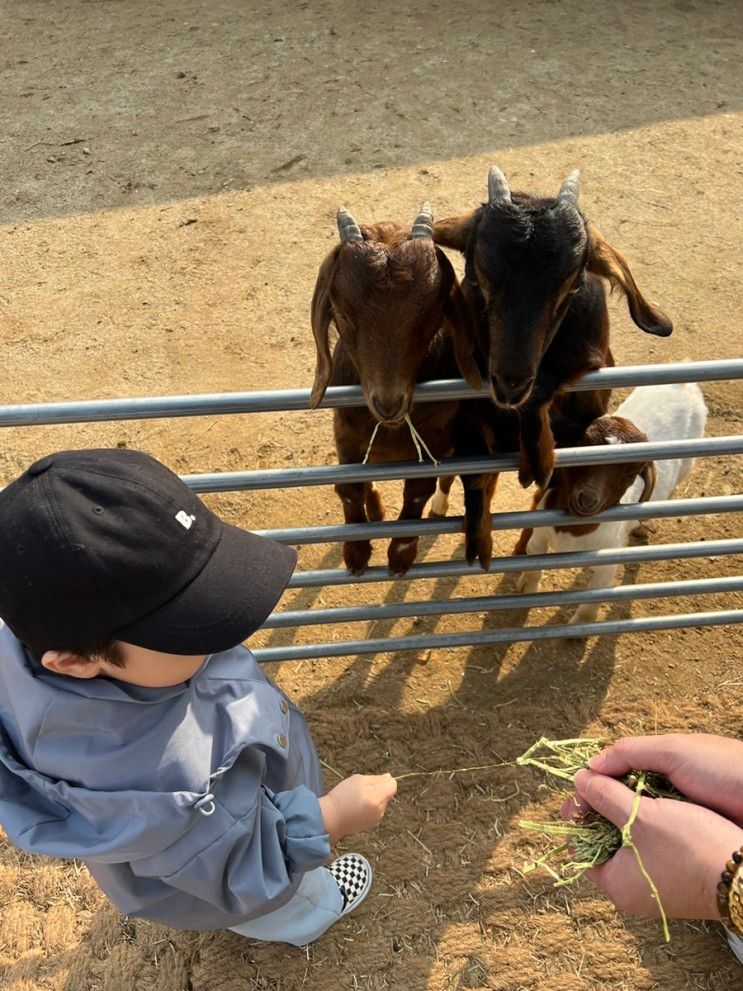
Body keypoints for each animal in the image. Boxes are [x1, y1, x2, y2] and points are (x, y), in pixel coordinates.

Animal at [310, 203, 480, 572]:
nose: (388, 403)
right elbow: (351, 488)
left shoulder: (434, 440)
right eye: (342, 313)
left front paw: (400, 555)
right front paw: (356, 553)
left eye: (432, 313)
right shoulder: (345, 434)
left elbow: (418, 490)